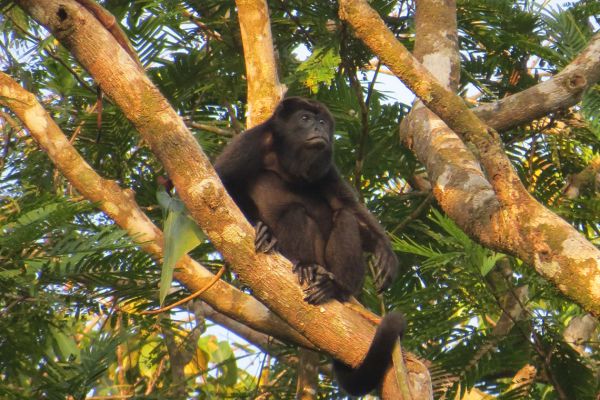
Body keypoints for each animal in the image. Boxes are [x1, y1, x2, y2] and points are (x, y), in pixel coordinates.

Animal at [213, 97, 406, 396]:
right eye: (305, 118)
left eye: (323, 122)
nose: (318, 128)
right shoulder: (251, 142)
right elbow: (221, 183)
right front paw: (263, 229)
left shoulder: (328, 167)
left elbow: (347, 207)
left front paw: (385, 252)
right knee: (294, 212)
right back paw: (305, 265)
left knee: (344, 217)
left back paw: (335, 287)